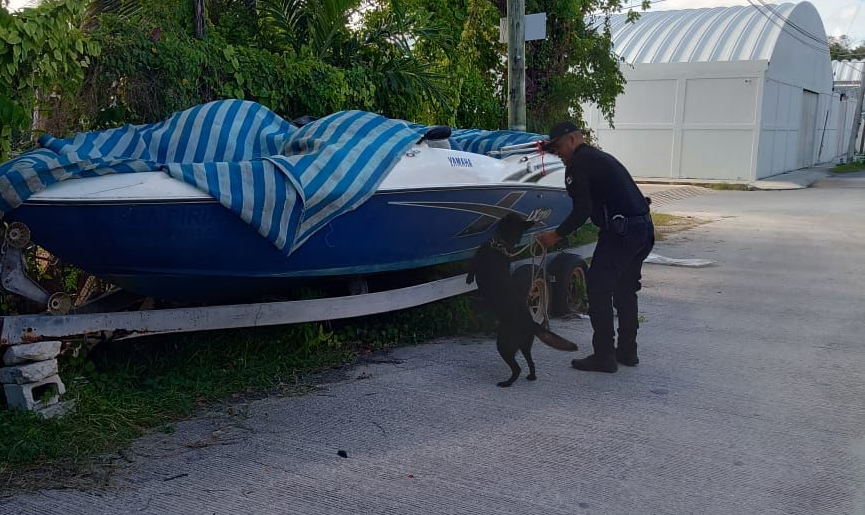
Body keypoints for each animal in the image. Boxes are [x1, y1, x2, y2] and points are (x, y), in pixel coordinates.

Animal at [462, 211, 576, 388]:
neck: (501, 244)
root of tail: (531, 323)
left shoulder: (478, 258)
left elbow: (471, 268)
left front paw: (468, 279)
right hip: (524, 346)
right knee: (531, 363)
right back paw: (531, 376)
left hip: (504, 344)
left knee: (517, 368)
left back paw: (506, 383)